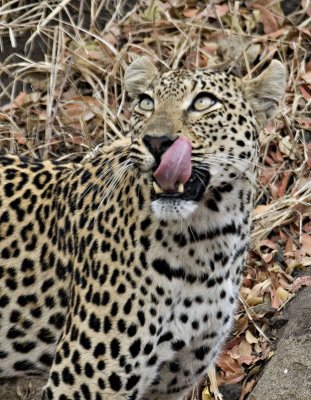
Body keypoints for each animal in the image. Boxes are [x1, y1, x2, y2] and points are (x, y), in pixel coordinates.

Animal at [0, 57, 288, 400]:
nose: (157, 142)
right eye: (147, 103)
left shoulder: (173, 380)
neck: (208, 241)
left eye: (204, 102)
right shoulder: (80, 385)